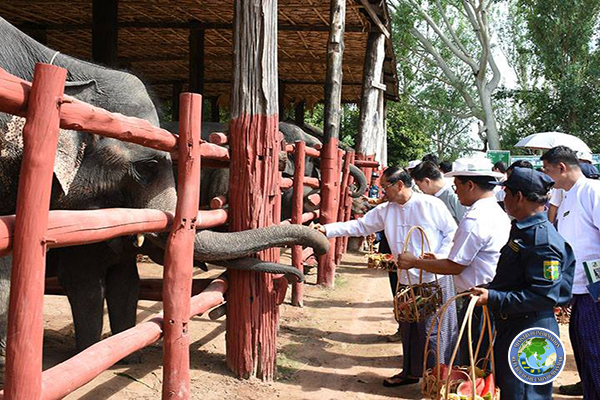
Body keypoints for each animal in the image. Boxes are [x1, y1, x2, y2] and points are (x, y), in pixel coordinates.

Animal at [0, 20, 328, 368]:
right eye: (148, 166)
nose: (300, 274)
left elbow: (126, 283)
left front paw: (127, 356)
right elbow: (84, 284)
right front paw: (87, 354)